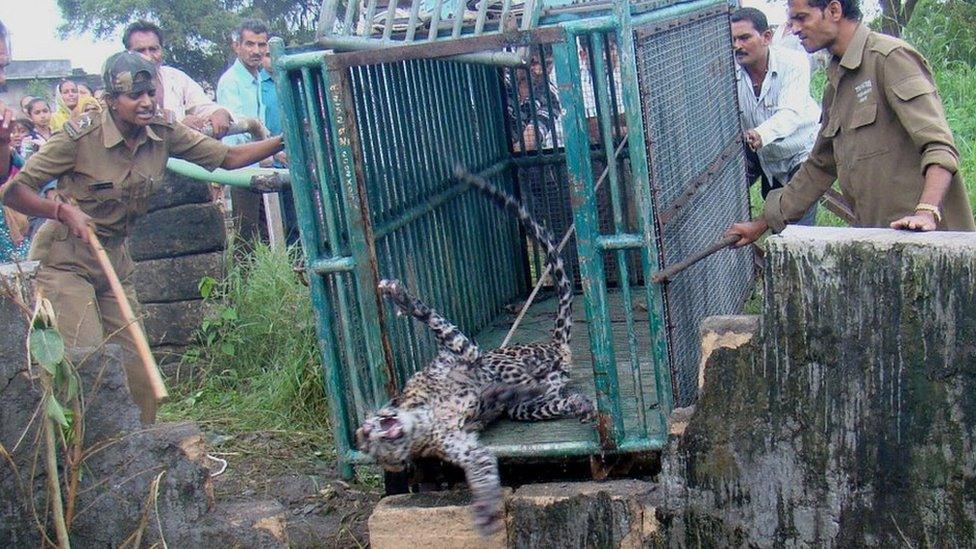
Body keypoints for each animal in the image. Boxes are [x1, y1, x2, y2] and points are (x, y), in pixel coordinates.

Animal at [354, 171, 592, 536]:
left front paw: (401, 297)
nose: (376, 429)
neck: (421, 418)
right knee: (548, 397)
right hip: (529, 408)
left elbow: (436, 322)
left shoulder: (462, 353)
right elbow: (481, 468)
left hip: (509, 362)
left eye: (370, 430)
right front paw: (486, 512)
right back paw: (577, 402)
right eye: (375, 446)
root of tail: (557, 347)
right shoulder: (462, 448)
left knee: (517, 380)